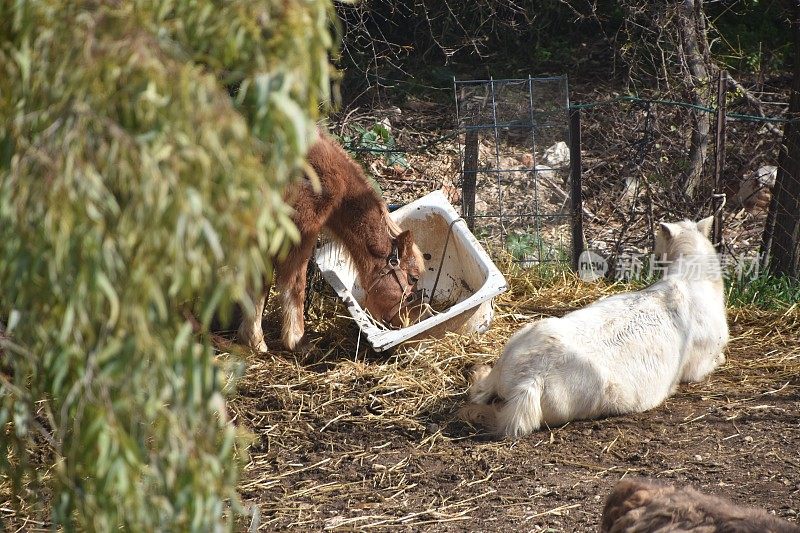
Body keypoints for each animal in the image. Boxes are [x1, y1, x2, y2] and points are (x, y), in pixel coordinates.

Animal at [238, 129, 424, 354]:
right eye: (413, 278)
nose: (411, 319)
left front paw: (253, 338)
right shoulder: (297, 233)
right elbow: (294, 284)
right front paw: (296, 340)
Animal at [460, 215, 728, 436]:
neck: (690, 279)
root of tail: (529, 378)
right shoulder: (700, 363)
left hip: (521, 341)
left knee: (482, 390)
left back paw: (476, 371)